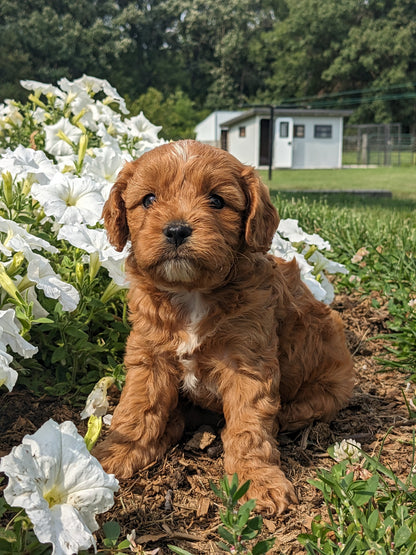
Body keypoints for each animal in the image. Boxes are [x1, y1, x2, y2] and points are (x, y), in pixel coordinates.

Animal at [95, 141, 354, 516]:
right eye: (148, 199)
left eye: (217, 200)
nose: (177, 229)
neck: (192, 293)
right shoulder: (149, 354)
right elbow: (137, 408)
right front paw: (114, 455)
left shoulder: (248, 362)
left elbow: (250, 424)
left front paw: (257, 481)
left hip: (334, 378)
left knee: (298, 410)